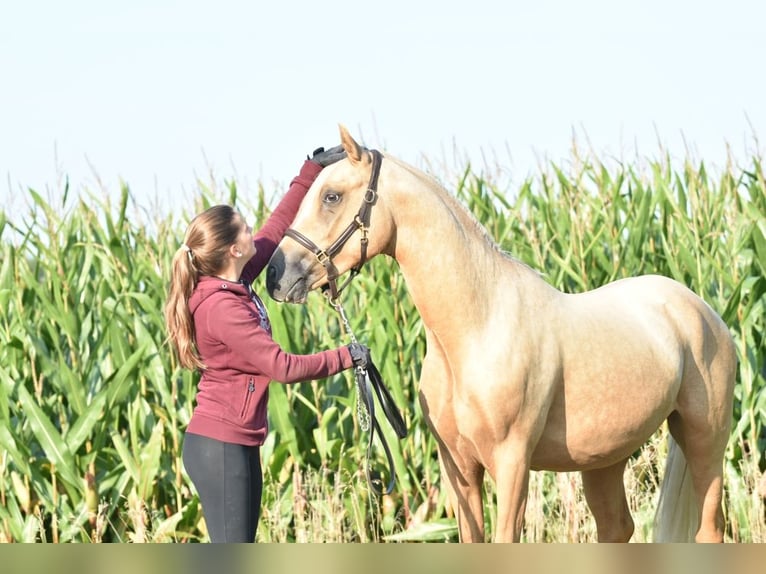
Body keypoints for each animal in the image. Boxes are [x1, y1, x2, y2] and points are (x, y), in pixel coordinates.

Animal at [264, 126, 736, 544]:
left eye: (331, 196)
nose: (275, 276)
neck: (477, 328)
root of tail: (703, 311)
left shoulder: (512, 463)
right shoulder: (457, 467)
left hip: (705, 440)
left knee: (709, 529)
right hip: (605, 458)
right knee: (617, 529)